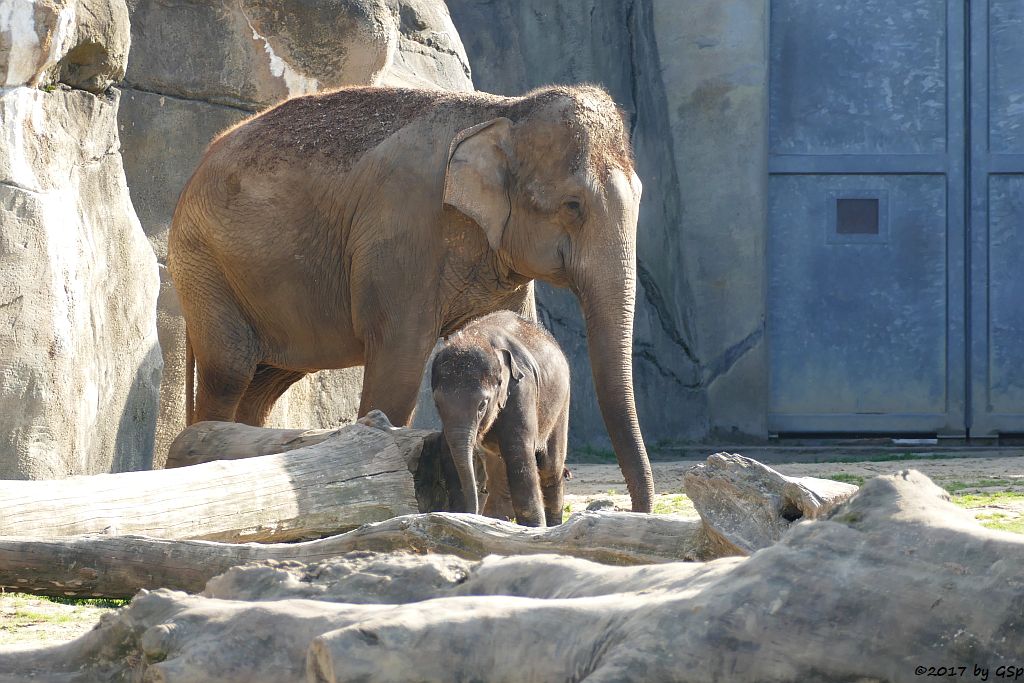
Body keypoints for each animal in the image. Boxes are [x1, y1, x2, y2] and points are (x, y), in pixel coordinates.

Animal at [430, 309, 573, 528]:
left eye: (482, 405)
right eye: (437, 404)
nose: (471, 513)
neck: (478, 338)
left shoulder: (521, 389)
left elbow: (519, 452)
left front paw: (533, 528)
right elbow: (448, 453)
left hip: (561, 403)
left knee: (550, 466)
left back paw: (554, 526)